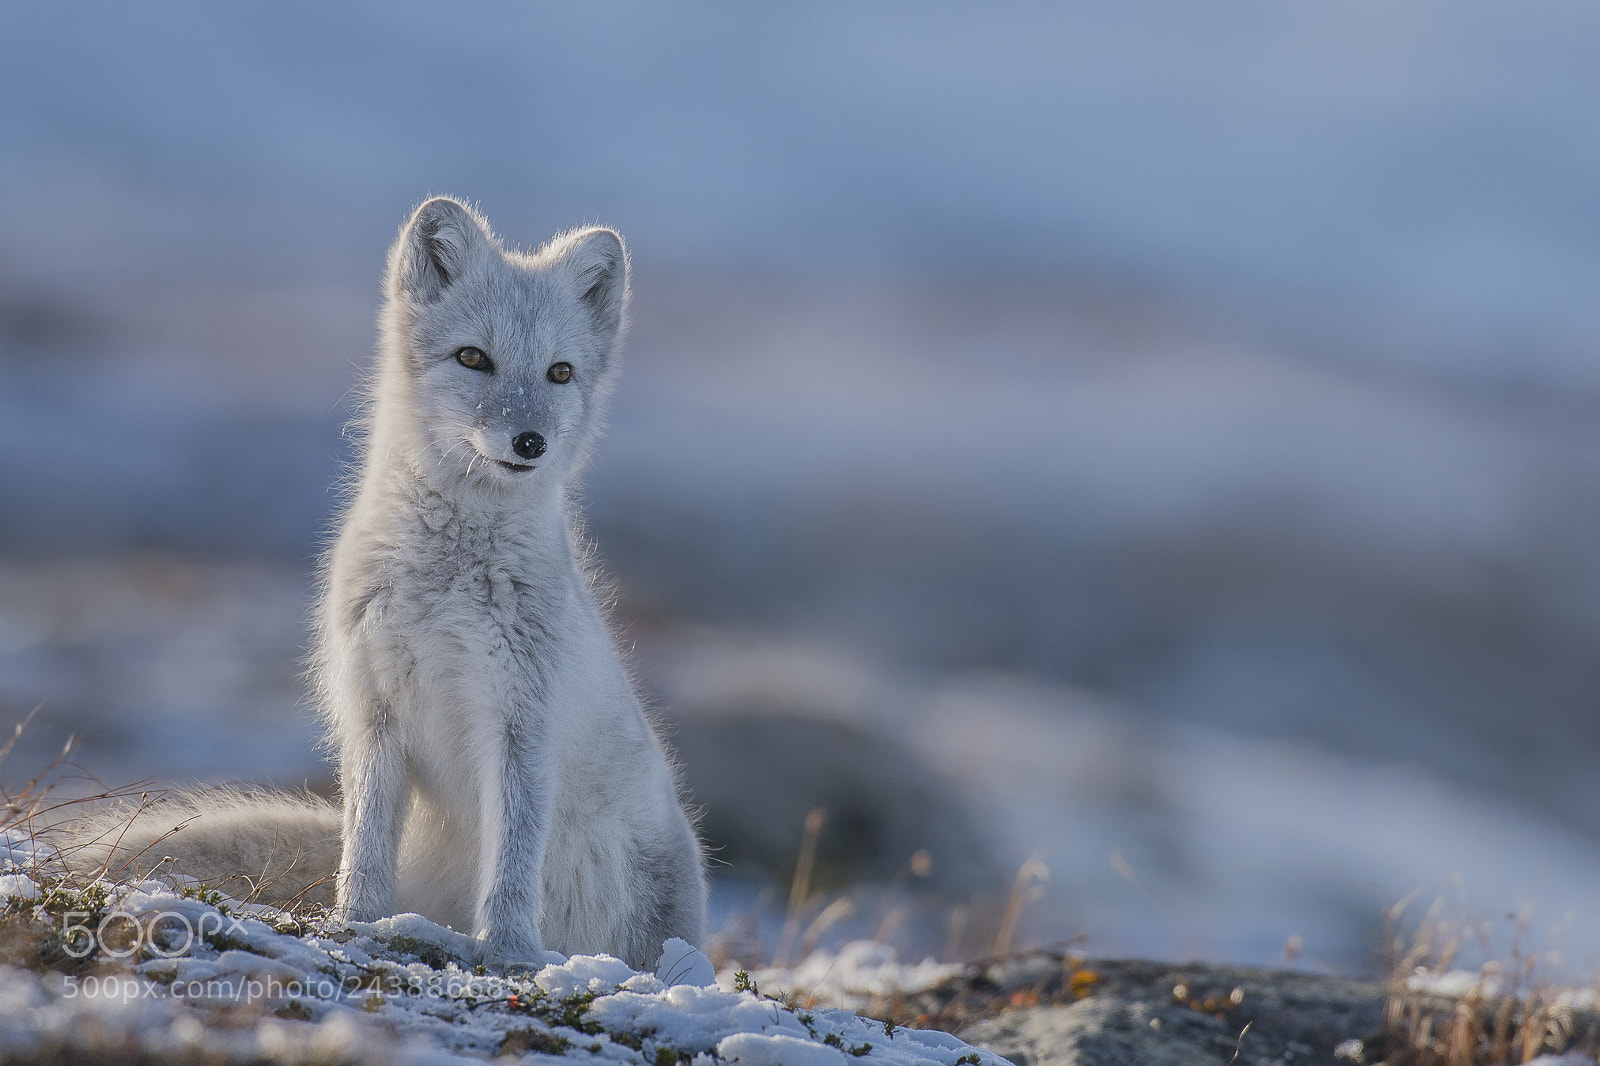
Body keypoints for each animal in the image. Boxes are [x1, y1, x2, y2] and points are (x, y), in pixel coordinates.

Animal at [63, 197, 707, 971]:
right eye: (473, 358)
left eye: (559, 372)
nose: (530, 443)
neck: (444, 588)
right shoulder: (373, 708)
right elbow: (365, 848)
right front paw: (358, 924)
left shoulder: (523, 719)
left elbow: (514, 859)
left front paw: (509, 950)